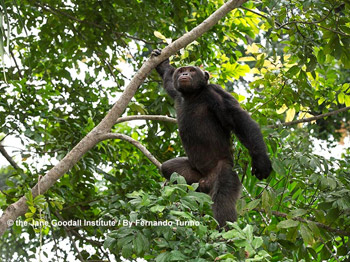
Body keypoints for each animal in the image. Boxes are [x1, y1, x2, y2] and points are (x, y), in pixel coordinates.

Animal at [152, 49, 272, 227]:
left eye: (192, 70)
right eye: (181, 71)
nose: (185, 74)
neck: (193, 95)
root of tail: (205, 182)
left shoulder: (215, 93)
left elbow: (238, 118)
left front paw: (261, 161)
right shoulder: (177, 93)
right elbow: (169, 81)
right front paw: (162, 63)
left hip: (225, 173)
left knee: (222, 203)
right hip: (194, 177)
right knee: (168, 168)